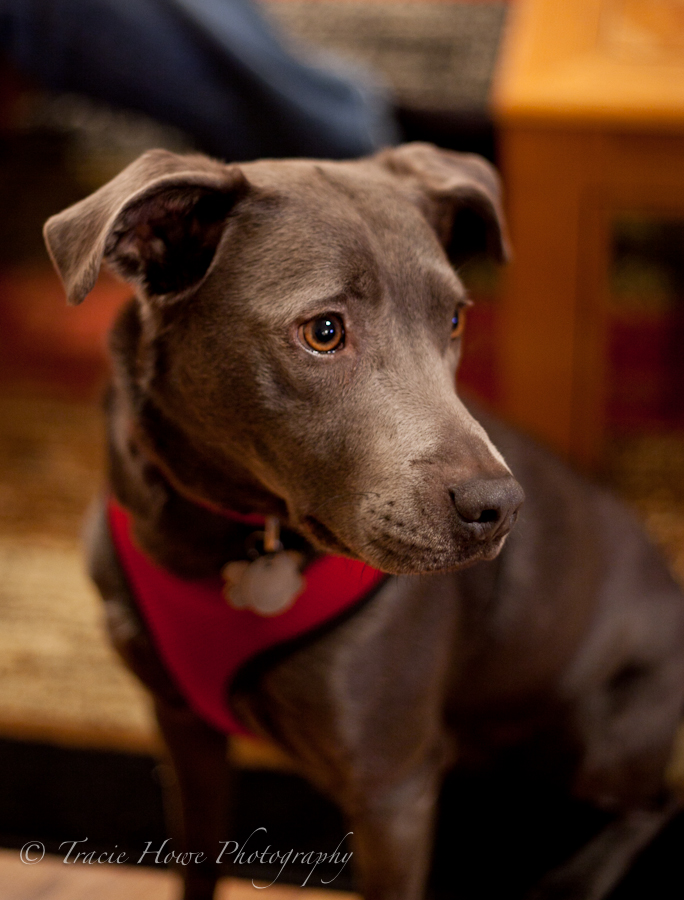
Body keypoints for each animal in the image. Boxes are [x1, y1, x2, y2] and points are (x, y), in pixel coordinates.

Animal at [44, 146, 684, 900]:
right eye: (324, 332)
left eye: (455, 319)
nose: (499, 507)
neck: (223, 539)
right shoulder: (182, 727)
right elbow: (197, 857)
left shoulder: (390, 787)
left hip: (595, 738)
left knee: (653, 804)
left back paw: (572, 879)